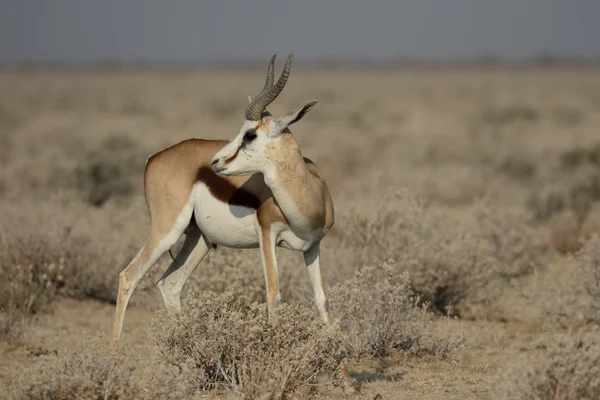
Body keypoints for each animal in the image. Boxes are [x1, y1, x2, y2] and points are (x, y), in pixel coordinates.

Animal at [111, 55, 338, 344]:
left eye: (250, 135)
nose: (215, 161)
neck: (309, 194)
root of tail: (155, 157)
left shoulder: (313, 246)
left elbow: (322, 300)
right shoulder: (267, 236)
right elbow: (273, 296)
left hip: (199, 239)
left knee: (169, 284)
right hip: (166, 231)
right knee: (128, 276)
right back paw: (114, 351)